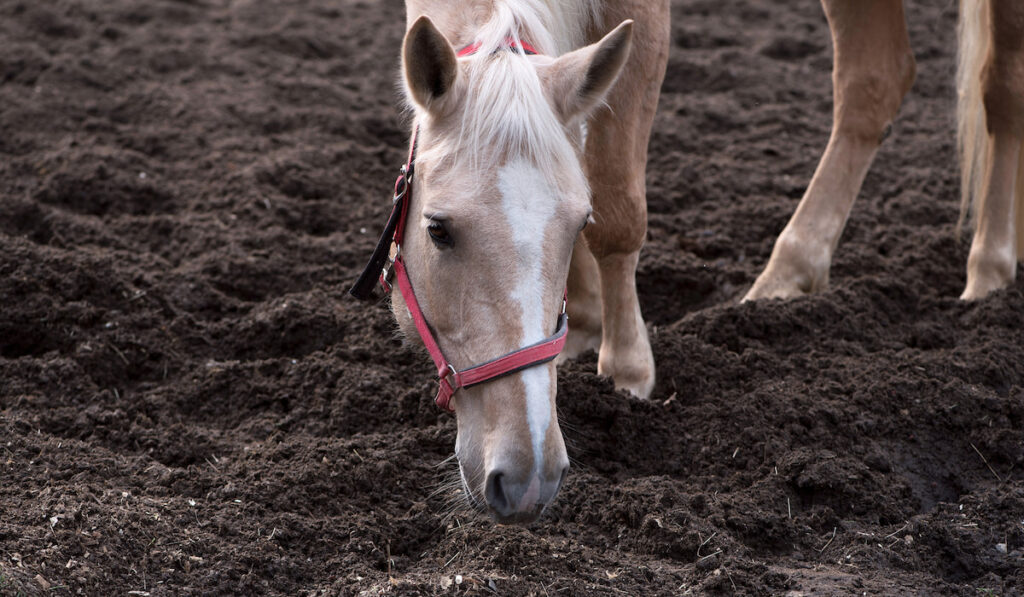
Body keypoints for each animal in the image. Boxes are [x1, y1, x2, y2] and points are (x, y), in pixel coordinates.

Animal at [352, 0, 671, 524]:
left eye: (578, 225)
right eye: (437, 229)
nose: (528, 478)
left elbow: (617, 212)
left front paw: (628, 372)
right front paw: (586, 323)